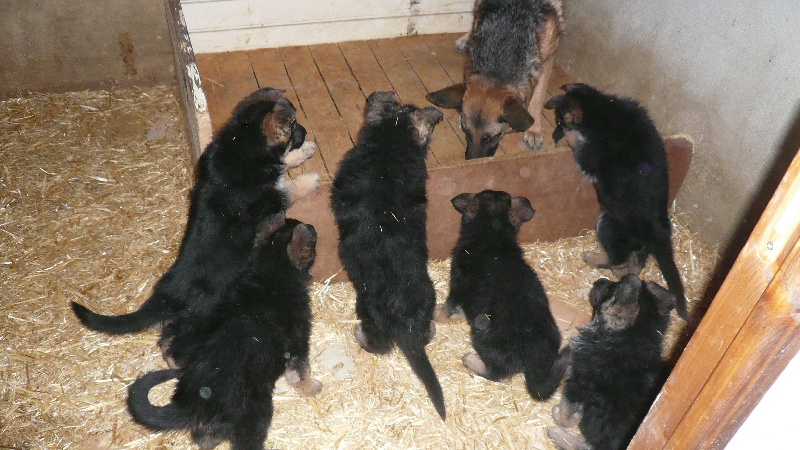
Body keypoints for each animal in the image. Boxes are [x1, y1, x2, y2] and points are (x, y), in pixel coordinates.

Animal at [328, 92, 446, 422]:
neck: (390, 145)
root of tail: (405, 318)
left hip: (369, 311)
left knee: (379, 344)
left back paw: (361, 337)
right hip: (427, 303)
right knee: (425, 334)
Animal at [424, 0, 564, 158]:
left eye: (491, 137)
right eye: (467, 132)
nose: (473, 161)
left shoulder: (547, 61)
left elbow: (537, 98)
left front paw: (533, 131)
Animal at [438, 188, 564, 400]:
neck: (491, 232)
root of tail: (534, 355)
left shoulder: (457, 287)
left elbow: (447, 309)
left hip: (483, 341)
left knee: (498, 374)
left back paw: (471, 360)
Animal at [548, 82, 692, 318]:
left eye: (561, 122)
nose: (553, 136)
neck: (604, 109)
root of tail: (660, 233)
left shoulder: (588, 158)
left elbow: (577, 143)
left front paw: (567, 138)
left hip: (608, 223)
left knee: (619, 258)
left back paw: (593, 257)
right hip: (637, 245)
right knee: (633, 265)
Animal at [548, 274, 672, 450]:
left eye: (610, 289)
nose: (599, 280)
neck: (631, 341)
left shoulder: (578, 384)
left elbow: (567, 411)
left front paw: (560, 417)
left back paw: (559, 436)